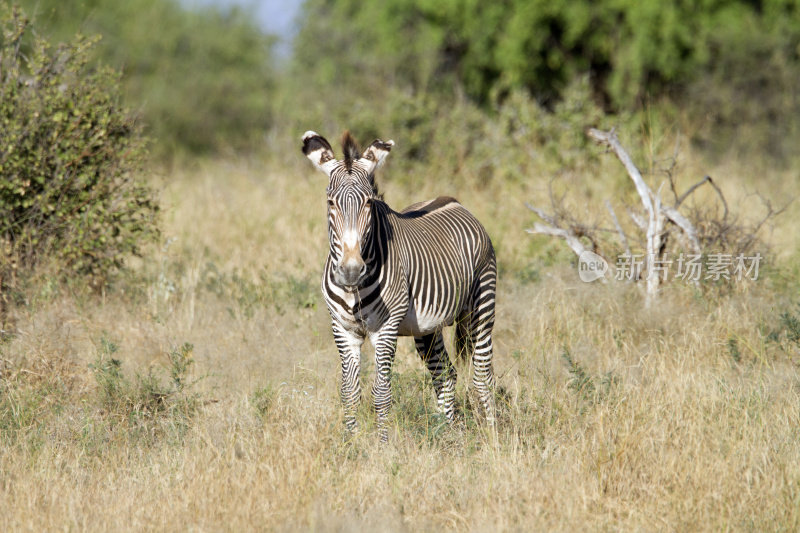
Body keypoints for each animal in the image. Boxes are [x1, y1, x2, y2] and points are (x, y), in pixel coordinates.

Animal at [304, 130, 496, 440]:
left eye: (368, 202)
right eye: (330, 203)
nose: (350, 270)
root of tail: (453, 200)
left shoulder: (386, 327)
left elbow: (381, 392)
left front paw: (381, 445)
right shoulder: (343, 329)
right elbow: (349, 392)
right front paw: (351, 443)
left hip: (482, 306)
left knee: (483, 376)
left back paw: (493, 438)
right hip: (427, 328)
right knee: (445, 374)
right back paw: (450, 435)